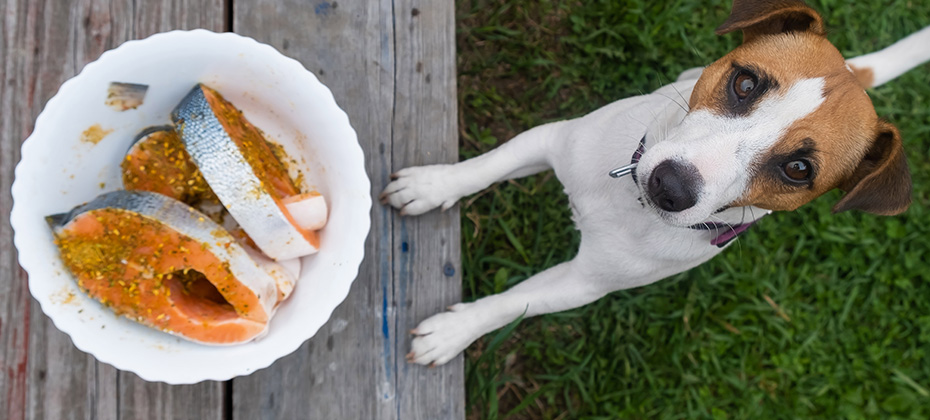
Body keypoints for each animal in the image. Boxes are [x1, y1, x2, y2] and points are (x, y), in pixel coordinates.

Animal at [376, 0, 928, 366]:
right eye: (745, 82)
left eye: (798, 170)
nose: (671, 187)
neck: (628, 202)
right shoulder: (552, 140)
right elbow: (484, 166)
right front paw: (430, 186)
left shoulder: (583, 283)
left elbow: (512, 302)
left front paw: (452, 331)